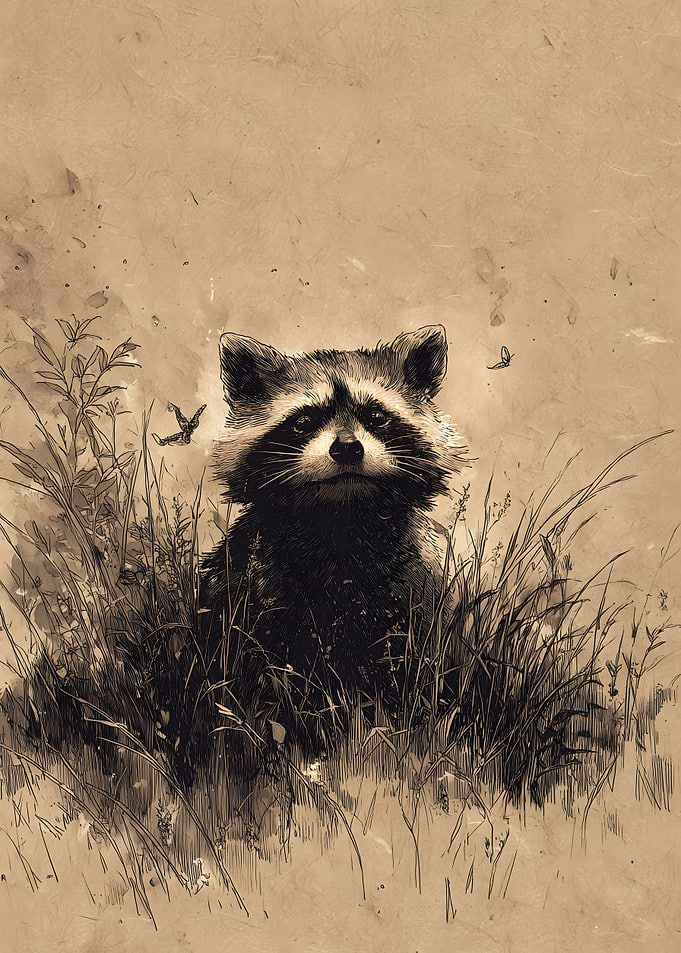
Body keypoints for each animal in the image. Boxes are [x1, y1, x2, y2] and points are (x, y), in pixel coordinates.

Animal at [200, 324, 467, 748]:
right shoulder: (255, 588)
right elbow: (264, 676)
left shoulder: (408, 592)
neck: (341, 519)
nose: (346, 448)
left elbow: (410, 669)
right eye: (304, 420)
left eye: (376, 416)